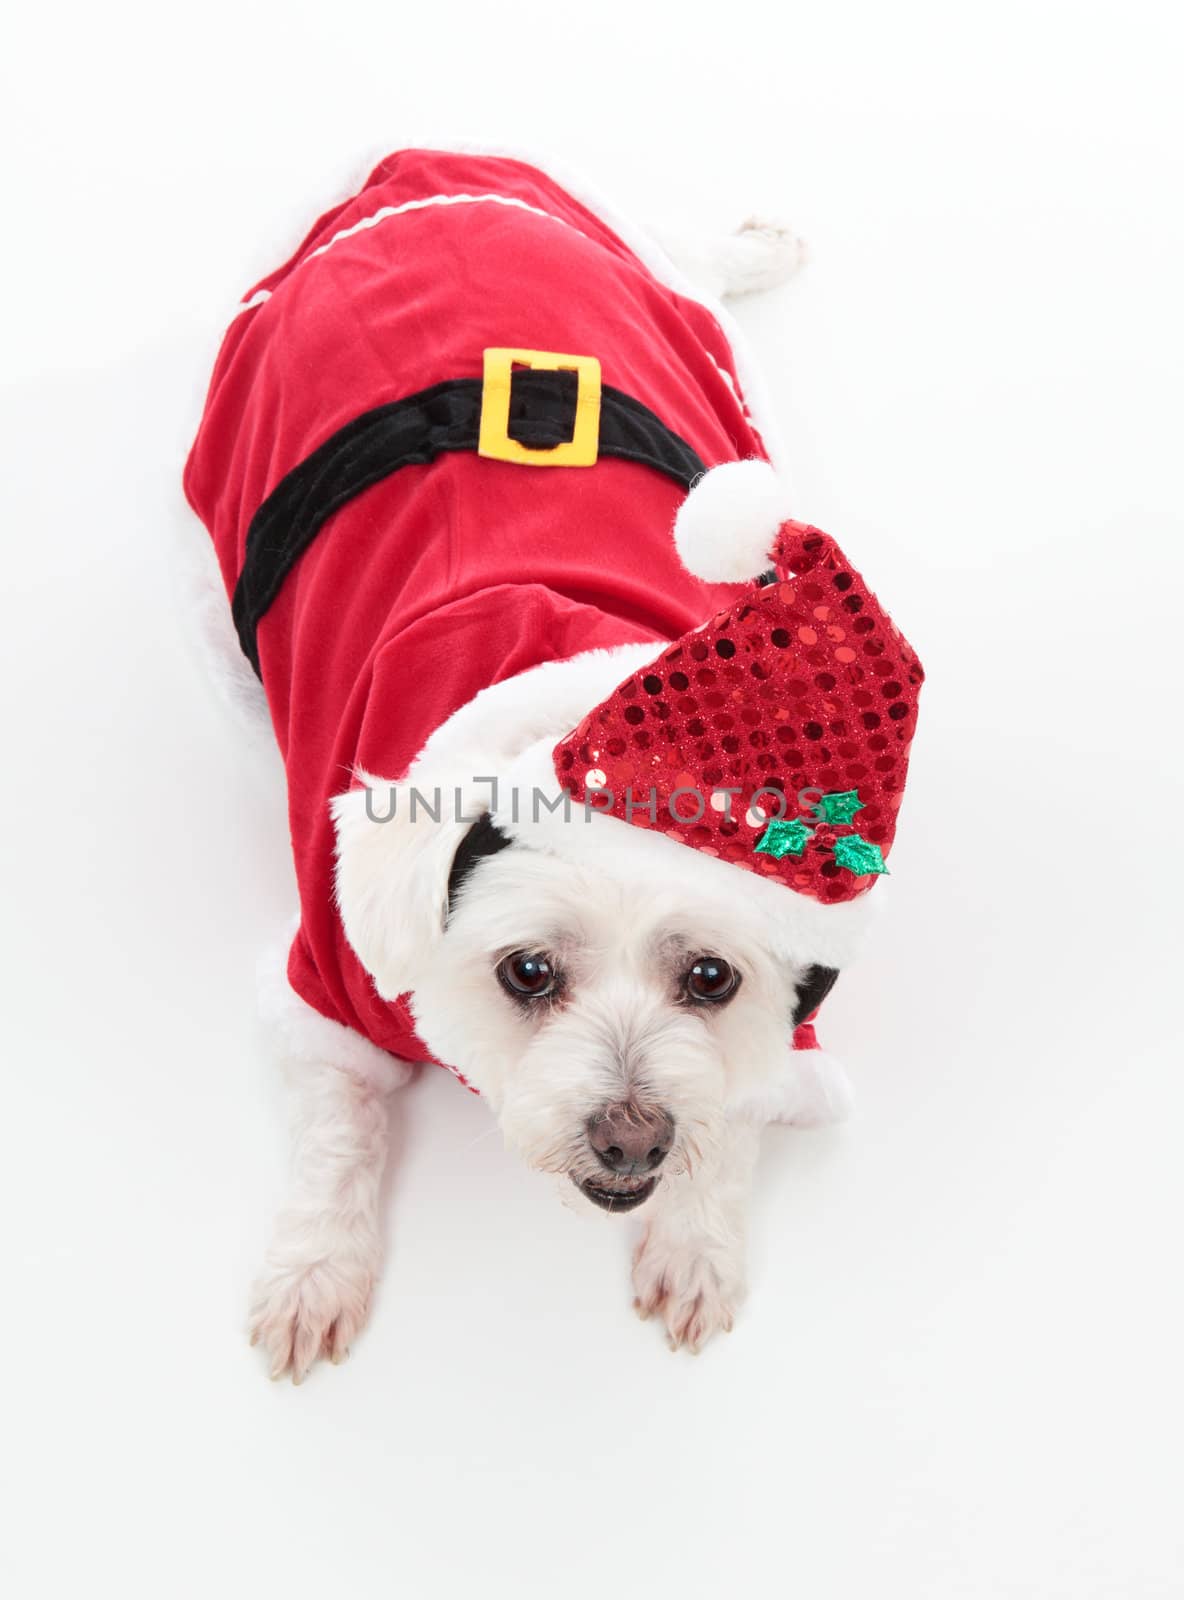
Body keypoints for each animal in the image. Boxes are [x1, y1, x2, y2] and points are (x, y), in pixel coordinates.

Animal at [187, 144, 928, 1382]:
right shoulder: (328, 972)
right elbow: (339, 1128)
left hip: (667, 298)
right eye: (525, 971)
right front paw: (313, 1268)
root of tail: (415, 172)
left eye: (712, 978)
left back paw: (755, 247)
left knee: (701, 271)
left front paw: (696, 1238)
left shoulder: (790, 998)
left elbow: (744, 1105)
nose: (633, 1138)